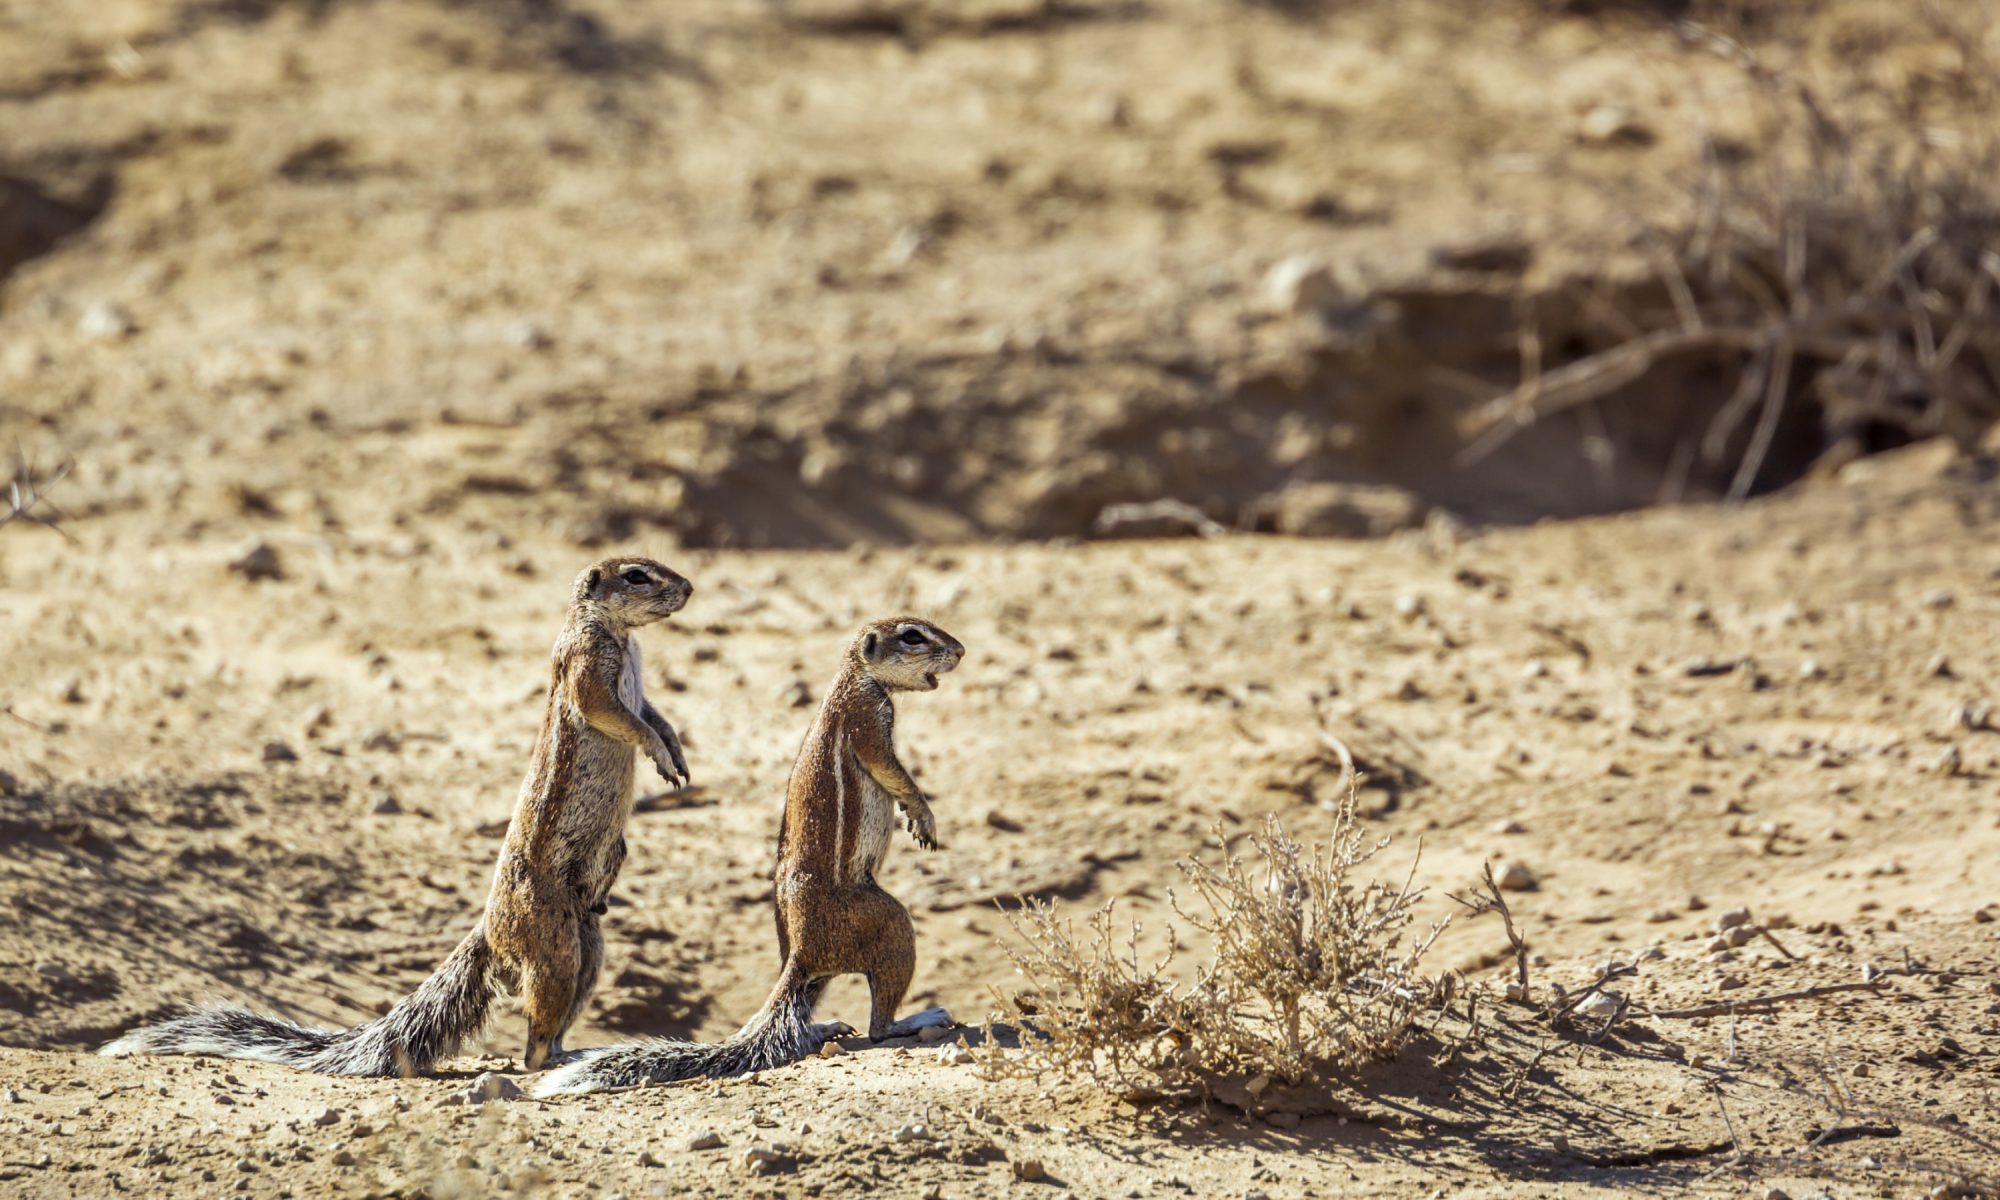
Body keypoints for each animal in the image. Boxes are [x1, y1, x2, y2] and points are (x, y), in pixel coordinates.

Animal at [105, 560, 696, 1080]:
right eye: (637, 575)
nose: (689, 587)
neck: (619, 634)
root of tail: (490, 929)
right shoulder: (586, 665)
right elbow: (617, 715)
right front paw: (658, 754)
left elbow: (655, 714)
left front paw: (676, 753)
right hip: (555, 945)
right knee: (533, 1037)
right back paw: (555, 1060)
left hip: (588, 941)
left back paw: (575, 1051)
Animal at [536, 620, 964, 1096]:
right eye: (912, 636)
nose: (960, 651)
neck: (855, 676)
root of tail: (802, 954)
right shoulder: (868, 718)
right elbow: (893, 771)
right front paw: (924, 816)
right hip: (890, 923)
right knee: (878, 1026)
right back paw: (918, 1017)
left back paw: (821, 1028)